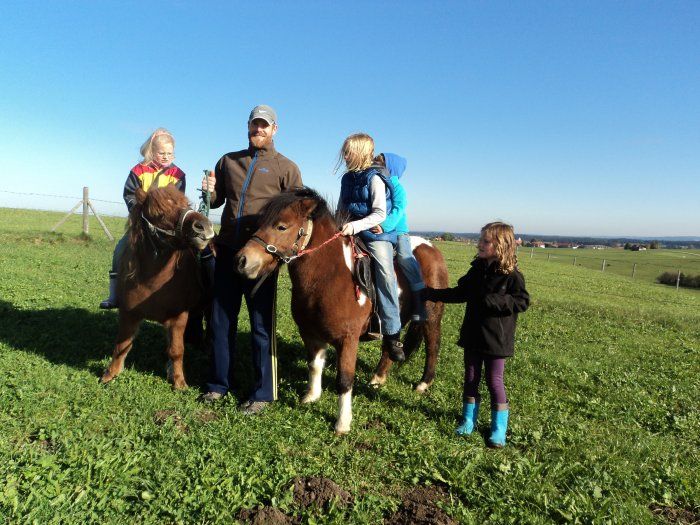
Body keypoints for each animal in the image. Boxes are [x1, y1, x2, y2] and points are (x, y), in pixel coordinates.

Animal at [98, 184, 213, 388]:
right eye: (158, 213)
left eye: (186, 204)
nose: (204, 227)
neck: (153, 282)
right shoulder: (128, 313)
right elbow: (121, 345)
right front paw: (110, 374)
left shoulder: (179, 317)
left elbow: (176, 350)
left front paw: (179, 382)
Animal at [232, 186, 446, 432]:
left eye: (282, 226)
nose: (242, 260)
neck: (329, 276)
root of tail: (431, 248)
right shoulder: (310, 333)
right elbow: (315, 365)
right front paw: (311, 397)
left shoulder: (348, 339)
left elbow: (344, 380)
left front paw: (342, 423)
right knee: (389, 345)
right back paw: (378, 378)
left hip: (432, 317)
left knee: (433, 347)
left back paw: (423, 383)